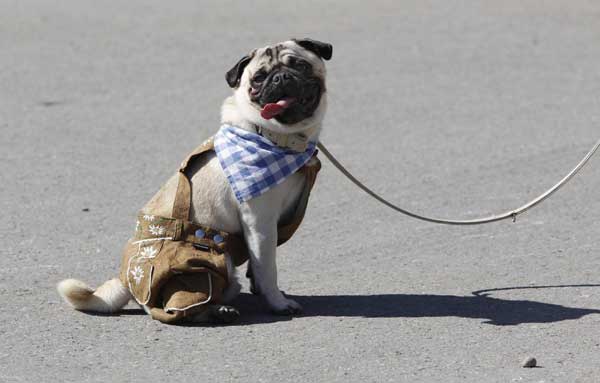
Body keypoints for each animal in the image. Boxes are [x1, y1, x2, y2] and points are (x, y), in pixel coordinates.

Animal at [56, 39, 332, 322]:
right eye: (259, 78)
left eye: (299, 65)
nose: (280, 77)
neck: (276, 137)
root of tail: (125, 280)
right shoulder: (261, 223)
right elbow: (267, 269)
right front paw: (278, 302)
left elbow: (257, 269)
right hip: (210, 260)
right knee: (170, 307)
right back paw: (215, 312)